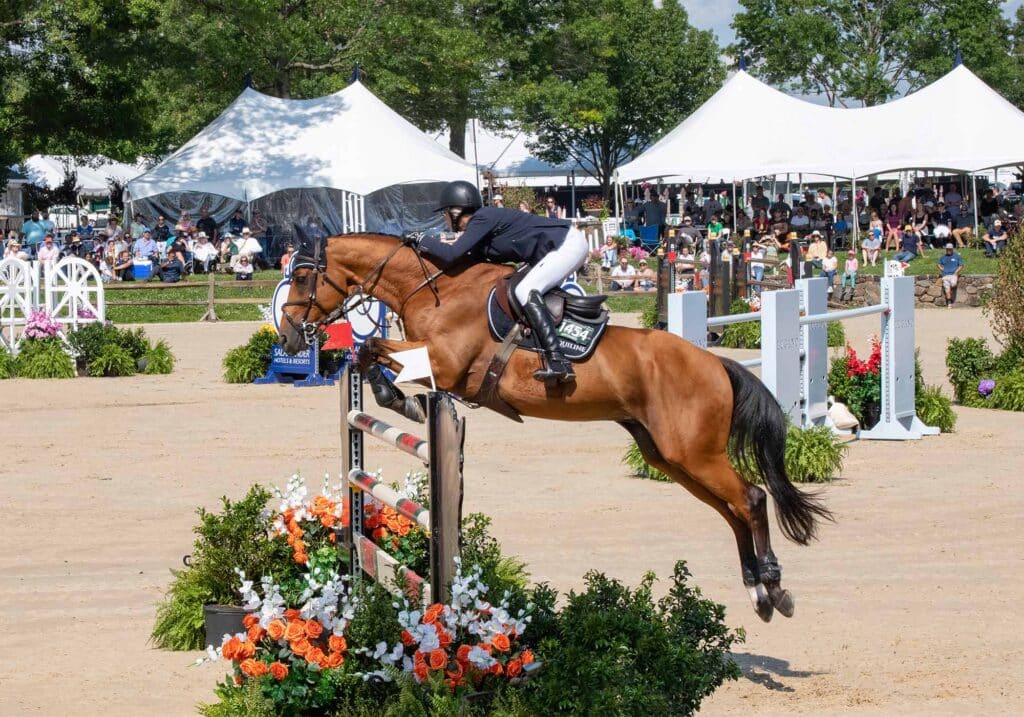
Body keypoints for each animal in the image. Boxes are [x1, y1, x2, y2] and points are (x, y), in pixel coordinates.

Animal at [280, 233, 831, 622]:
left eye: (304, 278)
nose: (287, 335)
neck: (434, 290)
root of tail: (716, 363)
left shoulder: (446, 363)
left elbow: (376, 348)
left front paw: (401, 401)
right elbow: (366, 352)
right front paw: (398, 399)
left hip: (694, 453)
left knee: (752, 498)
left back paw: (774, 587)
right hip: (671, 457)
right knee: (733, 511)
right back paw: (758, 591)